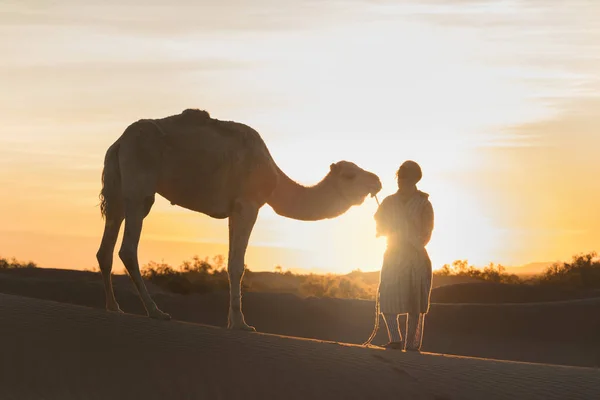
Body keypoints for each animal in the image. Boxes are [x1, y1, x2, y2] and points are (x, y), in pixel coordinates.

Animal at [96, 109, 382, 332]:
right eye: (350, 175)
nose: (377, 180)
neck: (275, 181)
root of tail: (119, 143)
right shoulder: (248, 204)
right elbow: (237, 265)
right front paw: (241, 324)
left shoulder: (234, 209)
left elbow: (231, 261)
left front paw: (232, 321)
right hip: (140, 184)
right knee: (128, 248)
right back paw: (155, 311)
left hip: (117, 188)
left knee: (106, 247)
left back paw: (114, 307)